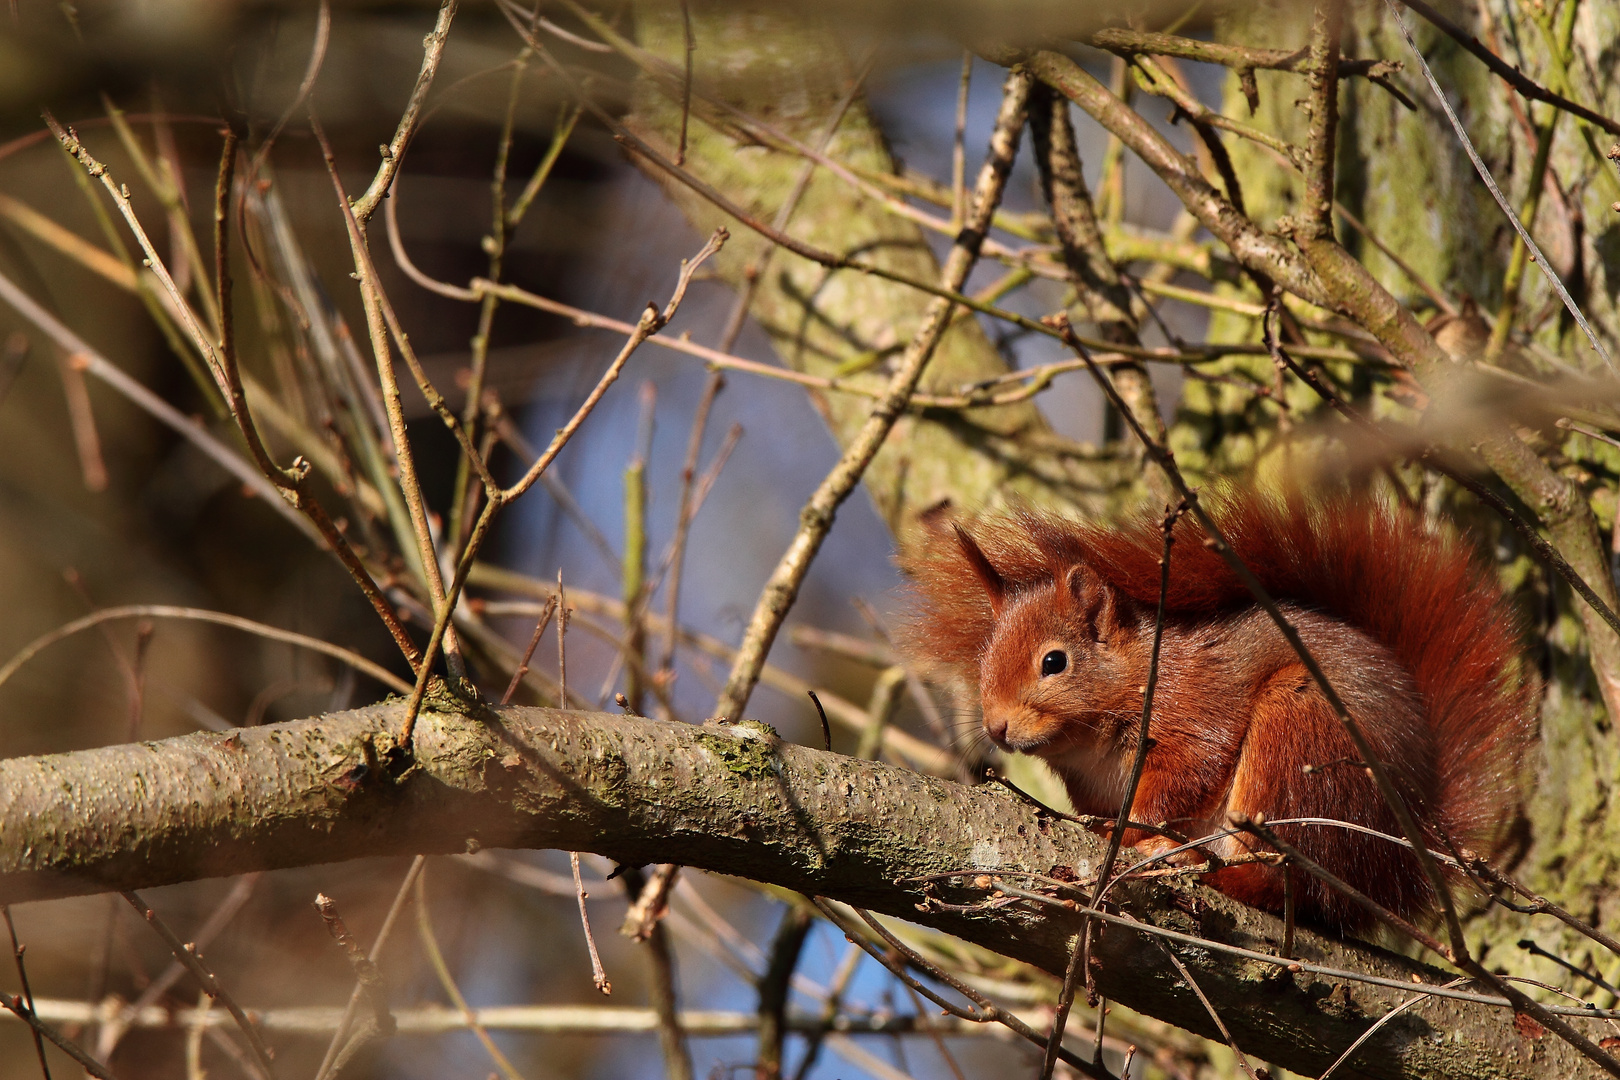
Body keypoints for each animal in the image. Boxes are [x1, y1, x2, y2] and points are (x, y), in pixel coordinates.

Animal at [907, 492, 1535, 932]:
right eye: (984, 658)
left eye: (1053, 662)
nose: (995, 726)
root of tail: (1401, 860)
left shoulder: (1196, 708)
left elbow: (1188, 773)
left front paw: (1131, 832)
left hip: (1299, 742)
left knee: (1284, 884)